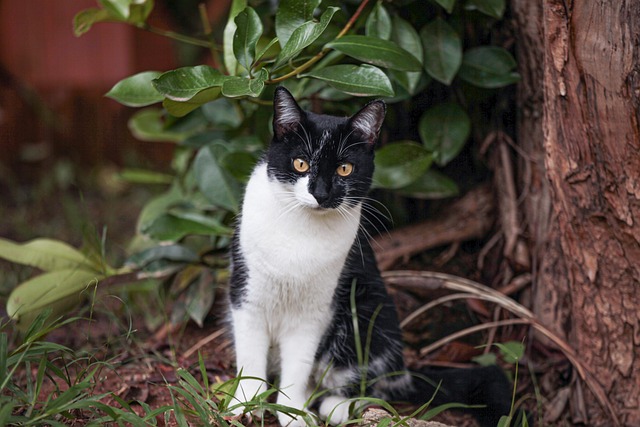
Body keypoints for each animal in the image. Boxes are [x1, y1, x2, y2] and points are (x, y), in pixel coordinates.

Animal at [228, 88, 512, 427]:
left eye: (345, 169)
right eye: (300, 163)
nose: (321, 193)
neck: (302, 230)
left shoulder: (314, 312)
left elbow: (298, 362)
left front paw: (293, 413)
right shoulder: (247, 295)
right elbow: (250, 357)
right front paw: (246, 404)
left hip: (368, 312)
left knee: (368, 379)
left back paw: (335, 405)